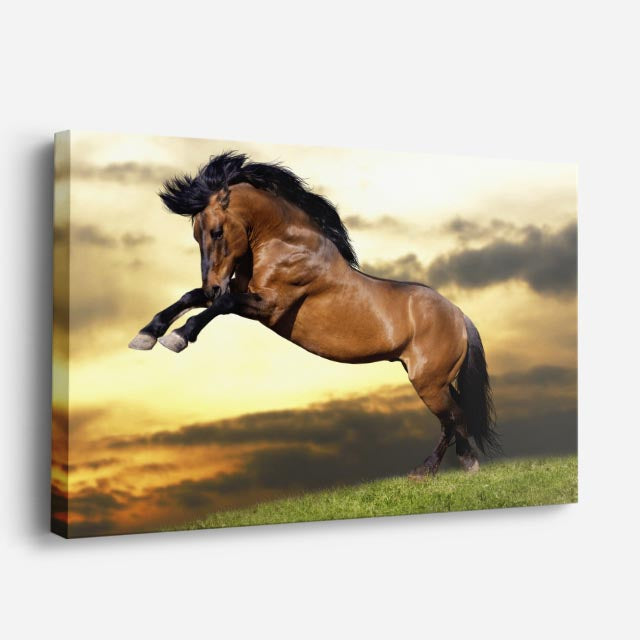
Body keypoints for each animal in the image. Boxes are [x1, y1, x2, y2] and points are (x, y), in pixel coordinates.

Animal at [129, 152, 498, 476]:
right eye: (195, 235)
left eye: (217, 232)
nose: (213, 284)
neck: (285, 245)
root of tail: (459, 315)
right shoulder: (240, 294)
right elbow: (192, 297)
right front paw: (146, 335)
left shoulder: (269, 306)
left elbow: (220, 306)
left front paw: (178, 337)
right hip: (436, 380)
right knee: (457, 417)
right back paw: (455, 466)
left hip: (429, 383)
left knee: (453, 419)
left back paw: (434, 470)